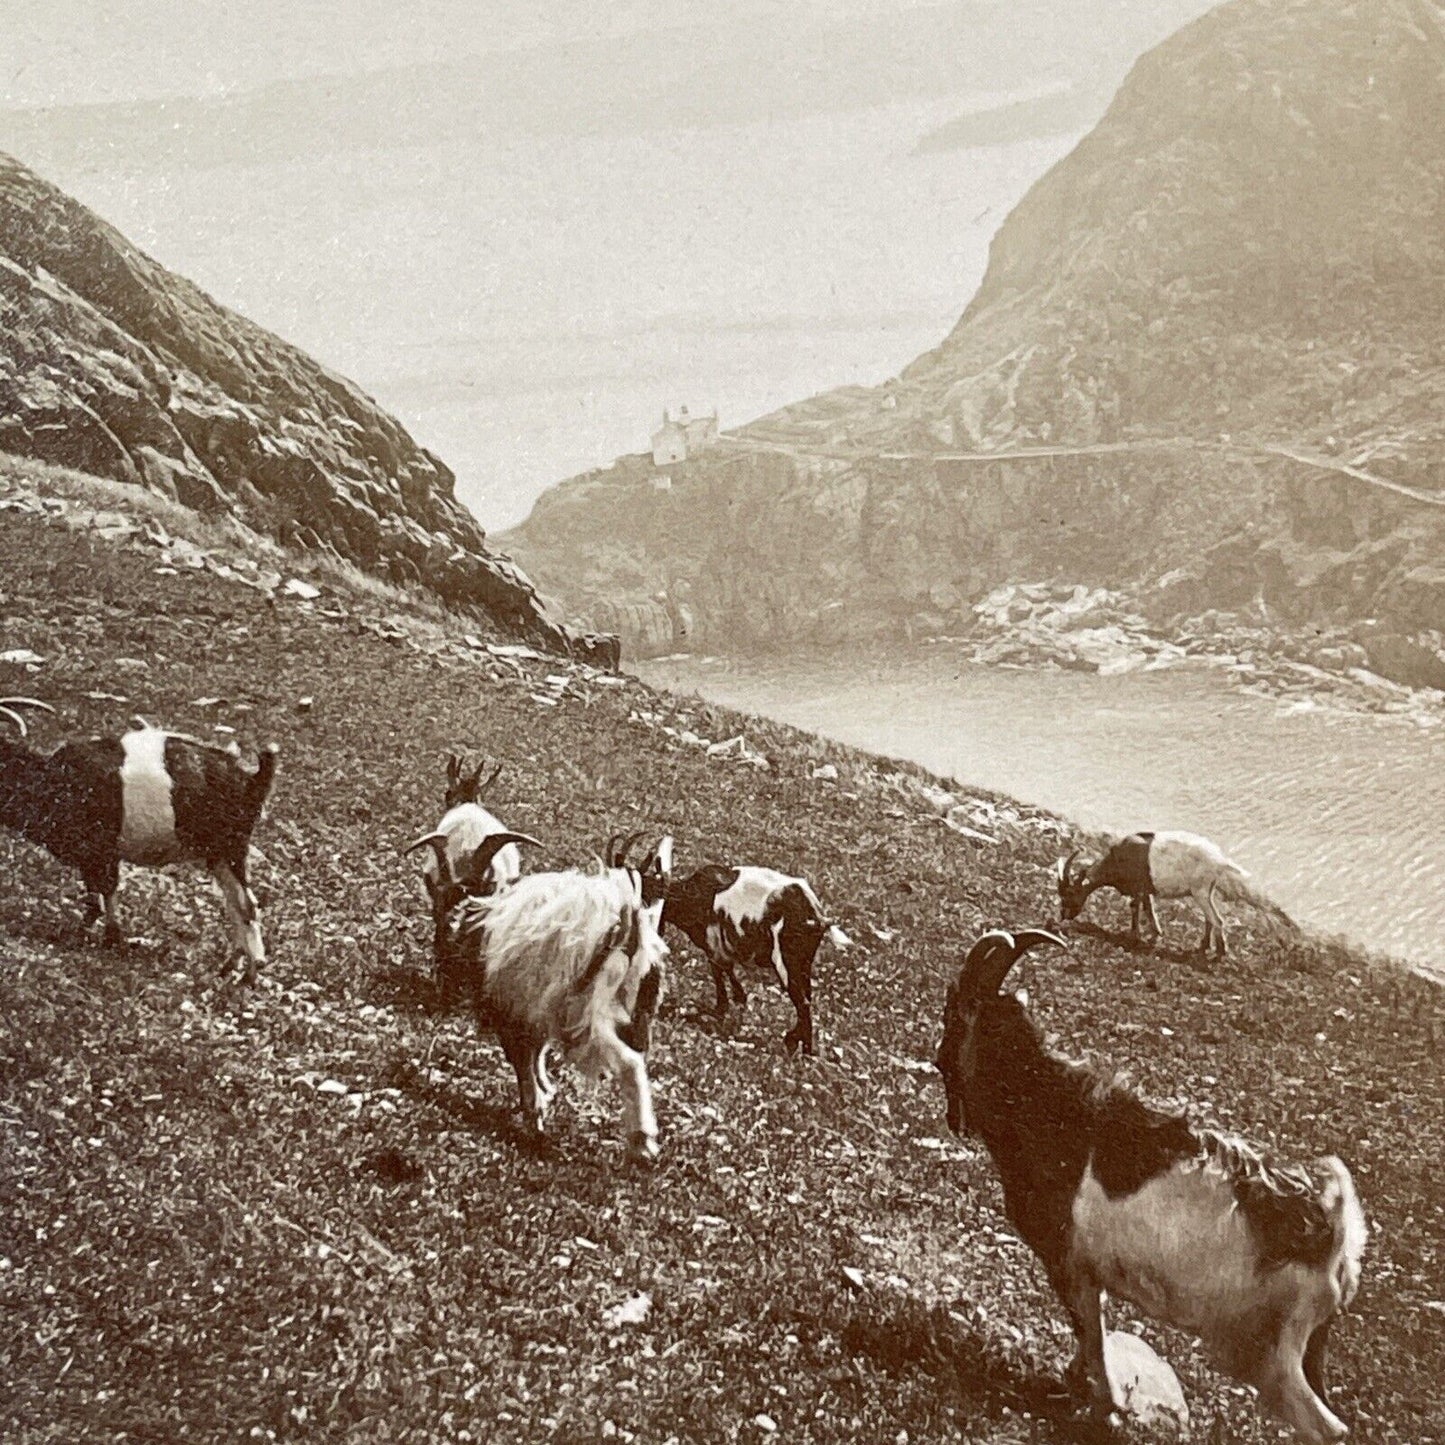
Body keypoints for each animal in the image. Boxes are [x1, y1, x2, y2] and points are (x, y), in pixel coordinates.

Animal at [0, 702, 278, 982]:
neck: (52, 780)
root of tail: (251, 778)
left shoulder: (101, 852)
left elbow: (104, 892)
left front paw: (108, 938)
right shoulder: (93, 857)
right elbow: (97, 895)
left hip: (231, 849)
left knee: (247, 905)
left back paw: (250, 974)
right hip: (218, 856)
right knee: (234, 904)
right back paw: (231, 964)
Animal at [413, 826, 670, 1161]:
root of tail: (627, 930)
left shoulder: (510, 1010)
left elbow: (522, 1060)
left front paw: (534, 1115)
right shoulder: (534, 1007)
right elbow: (537, 1052)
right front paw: (545, 1093)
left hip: (588, 1016)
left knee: (628, 1062)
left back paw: (642, 1142)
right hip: (635, 1013)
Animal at [658, 855, 832, 1051]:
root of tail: (815, 916)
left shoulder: (713, 945)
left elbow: (720, 972)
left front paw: (722, 1007)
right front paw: (737, 999)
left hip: (787, 964)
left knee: (802, 1002)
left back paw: (797, 1046)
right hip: (804, 964)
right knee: (807, 998)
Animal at [936, 930, 1364, 1439]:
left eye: (952, 1015)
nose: (939, 1063)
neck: (1053, 1108)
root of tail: (1333, 1233)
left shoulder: (1068, 1260)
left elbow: (1090, 1333)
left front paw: (1102, 1402)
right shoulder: (1087, 1271)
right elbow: (1091, 1331)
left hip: (1271, 1350)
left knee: (1325, 1426)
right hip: (1310, 1344)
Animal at [1051, 832, 1288, 953]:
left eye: (1069, 894)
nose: (1064, 915)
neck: (1117, 859)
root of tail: (1220, 861)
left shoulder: (1137, 887)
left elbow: (1135, 907)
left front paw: (1134, 935)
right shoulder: (1145, 888)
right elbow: (1149, 907)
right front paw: (1157, 932)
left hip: (1200, 890)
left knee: (1217, 919)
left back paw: (1219, 953)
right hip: (1206, 890)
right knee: (1210, 918)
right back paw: (1204, 945)